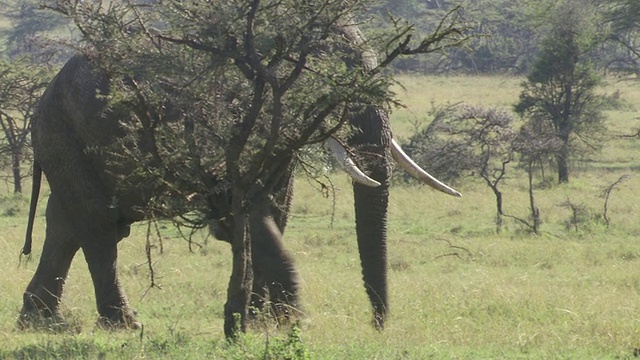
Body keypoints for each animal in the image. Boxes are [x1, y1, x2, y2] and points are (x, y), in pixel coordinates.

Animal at [18, 26, 460, 334]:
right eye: (320, 67)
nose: (377, 326)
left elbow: (274, 207)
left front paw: (265, 321)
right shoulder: (220, 121)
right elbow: (243, 209)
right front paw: (294, 322)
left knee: (67, 224)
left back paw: (40, 322)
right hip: (64, 134)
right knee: (98, 228)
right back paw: (125, 325)